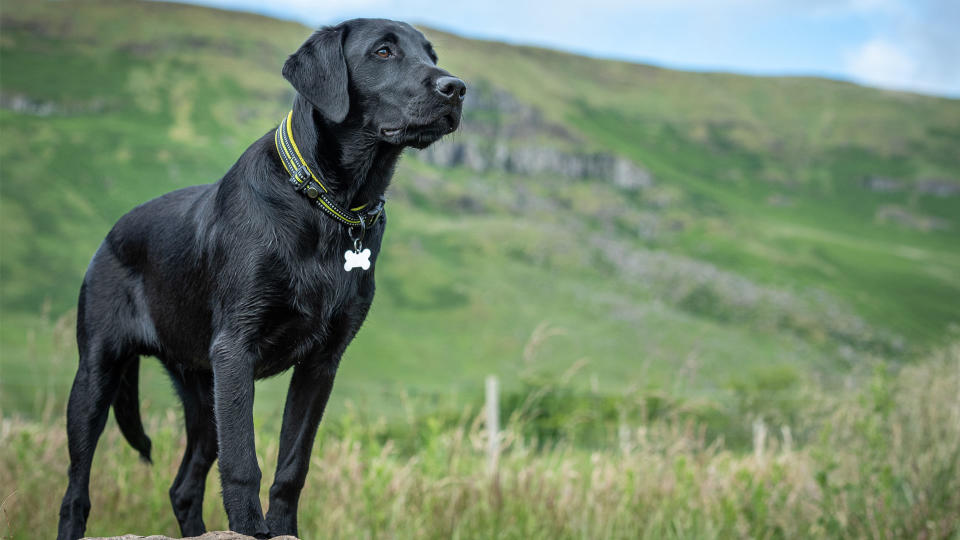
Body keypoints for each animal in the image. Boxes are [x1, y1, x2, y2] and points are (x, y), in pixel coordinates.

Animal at [55, 17, 464, 540]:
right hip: (96, 376)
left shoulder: (321, 364)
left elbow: (293, 464)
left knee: (183, 487)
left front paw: (284, 527)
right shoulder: (236, 349)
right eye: (383, 51)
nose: (456, 88)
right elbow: (243, 462)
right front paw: (251, 527)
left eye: (431, 55)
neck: (327, 204)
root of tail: (111, 233)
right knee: (76, 490)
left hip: (202, 393)